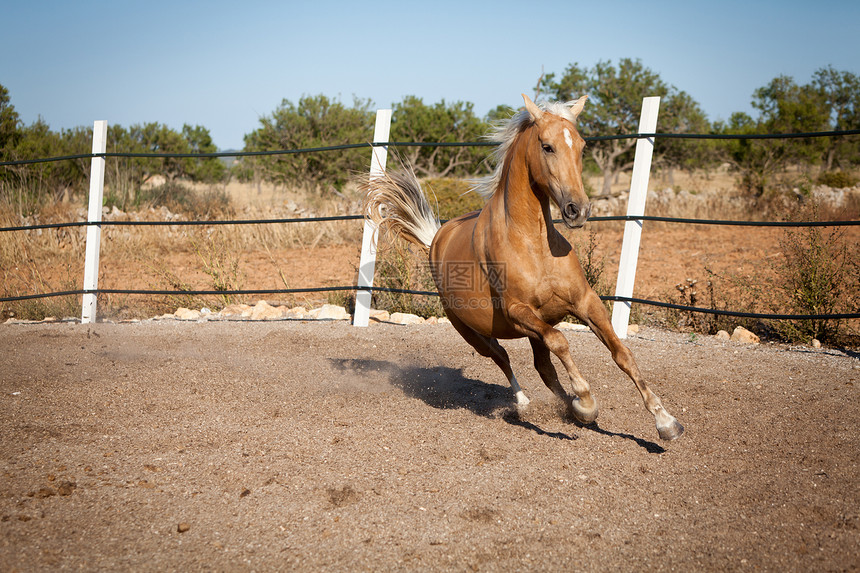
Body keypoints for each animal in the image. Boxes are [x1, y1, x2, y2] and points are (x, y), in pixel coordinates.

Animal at [362, 95, 684, 442]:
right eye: (547, 146)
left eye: (581, 146)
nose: (578, 209)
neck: (534, 244)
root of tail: (436, 237)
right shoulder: (518, 311)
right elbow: (561, 341)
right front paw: (586, 401)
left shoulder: (585, 303)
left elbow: (621, 353)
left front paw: (666, 422)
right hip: (471, 330)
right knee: (502, 357)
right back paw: (527, 403)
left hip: (531, 329)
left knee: (544, 368)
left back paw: (567, 409)